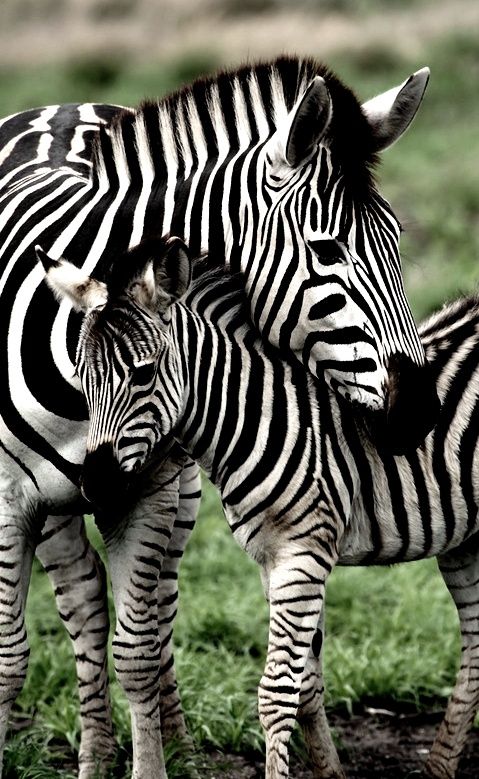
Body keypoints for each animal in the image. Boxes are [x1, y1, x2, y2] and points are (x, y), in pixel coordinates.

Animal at [44, 233, 479, 779]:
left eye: (143, 374)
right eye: (80, 375)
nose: (96, 486)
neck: (259, 417)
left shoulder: (303, 553)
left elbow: (276, 693)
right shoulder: (272, 559)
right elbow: (306, 684)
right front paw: (329, 771)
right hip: (467, 543)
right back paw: (439, 766)